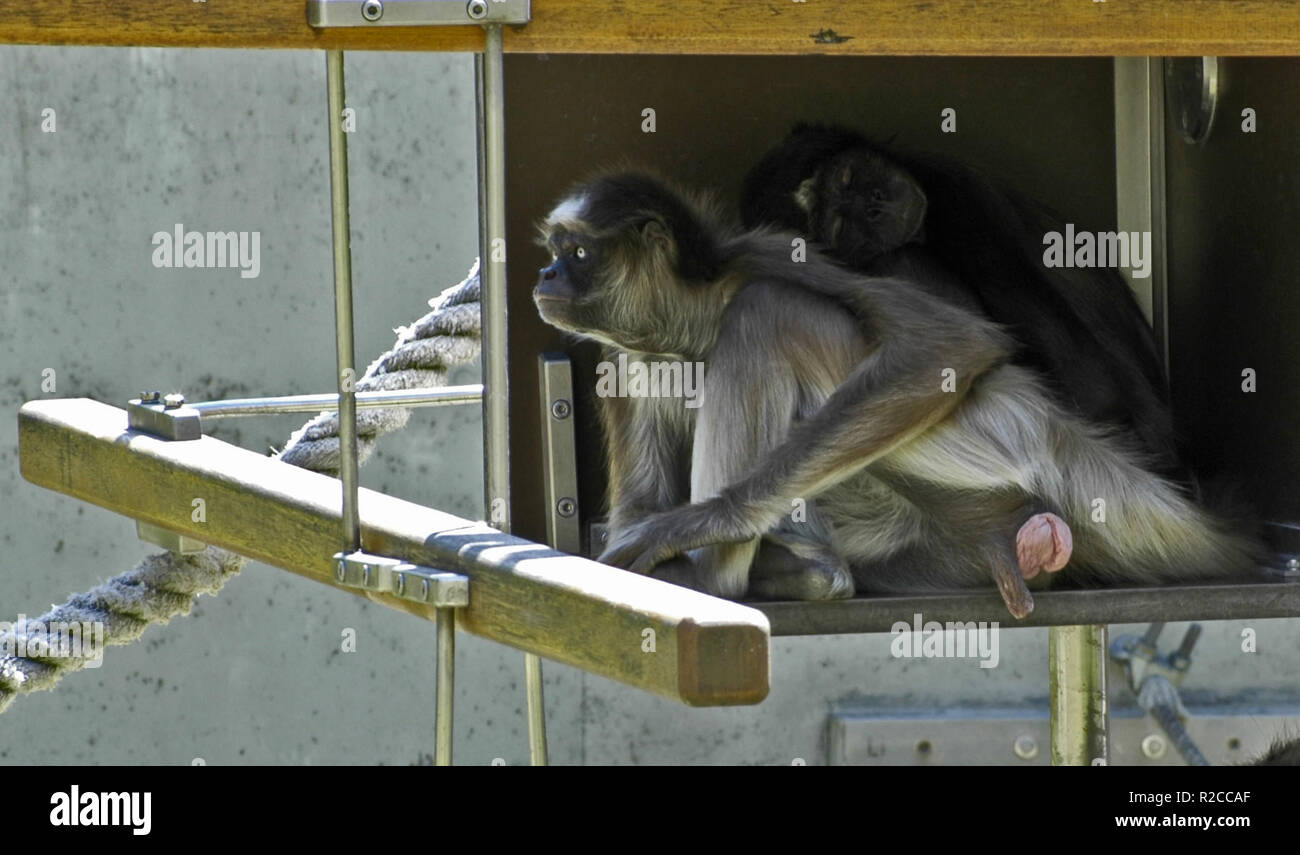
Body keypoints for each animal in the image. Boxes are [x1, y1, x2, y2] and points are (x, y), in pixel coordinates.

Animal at [530, 170, 1258, 615]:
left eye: (576, 252)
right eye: (554, 250)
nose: (545, 275)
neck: (686, 333)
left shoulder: (765, 255)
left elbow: (951, 344)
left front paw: (707, 521)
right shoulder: (627, 353)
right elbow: (636, 506)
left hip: (996, 435)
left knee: (769, 312)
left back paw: (716, 577)